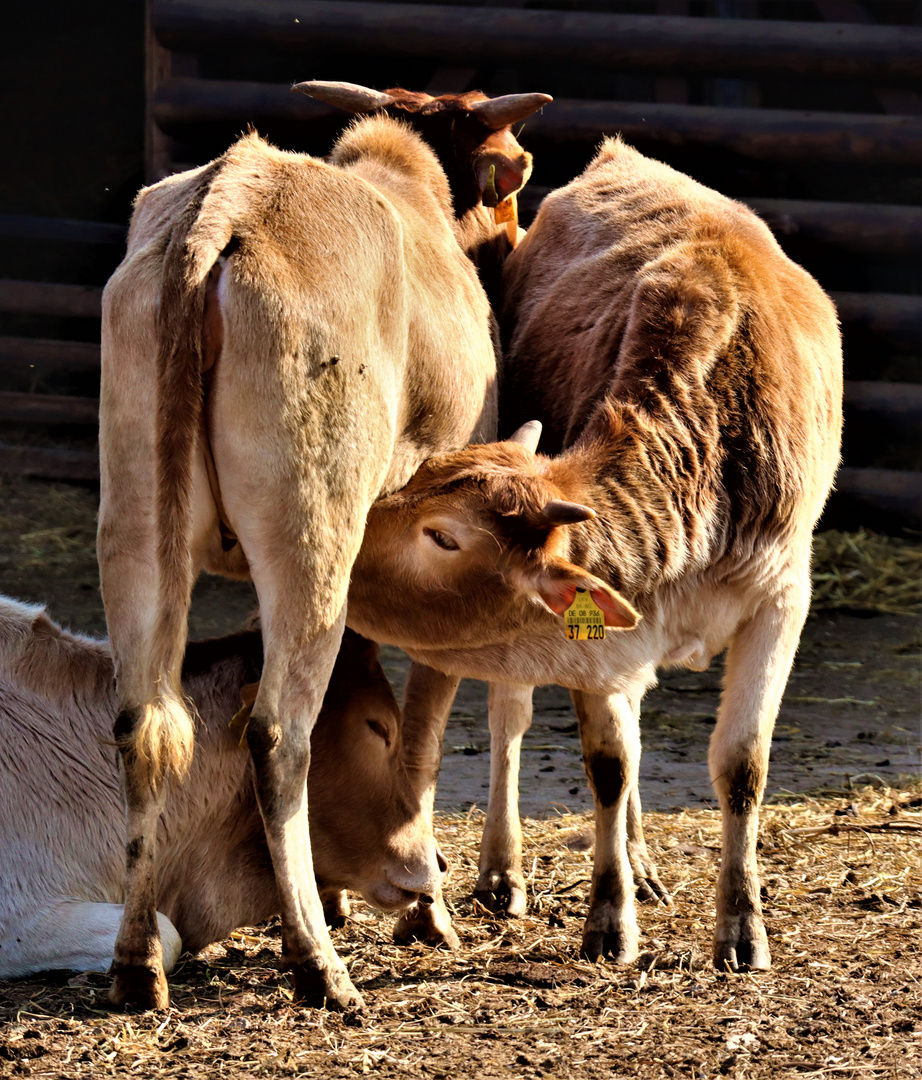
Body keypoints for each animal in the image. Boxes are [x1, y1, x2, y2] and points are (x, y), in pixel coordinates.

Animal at [98, 82, 552, 1010]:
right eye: (514, 172)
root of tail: (224, 204)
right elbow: (415, 737)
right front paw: (422, 911)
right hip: (313, 539)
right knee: (276, 736)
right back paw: (318, 964)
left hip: (138, 527)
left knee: (145, 726)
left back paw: (138, 964)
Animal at [347, 135, 846, 972]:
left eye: (443, 533)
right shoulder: (597, 640)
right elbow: (609, 766)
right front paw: (609, 919)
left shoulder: (782, 598)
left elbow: (741, 765)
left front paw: (741, 926)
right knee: (513, 722)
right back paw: (505, 872)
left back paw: (641, 863)